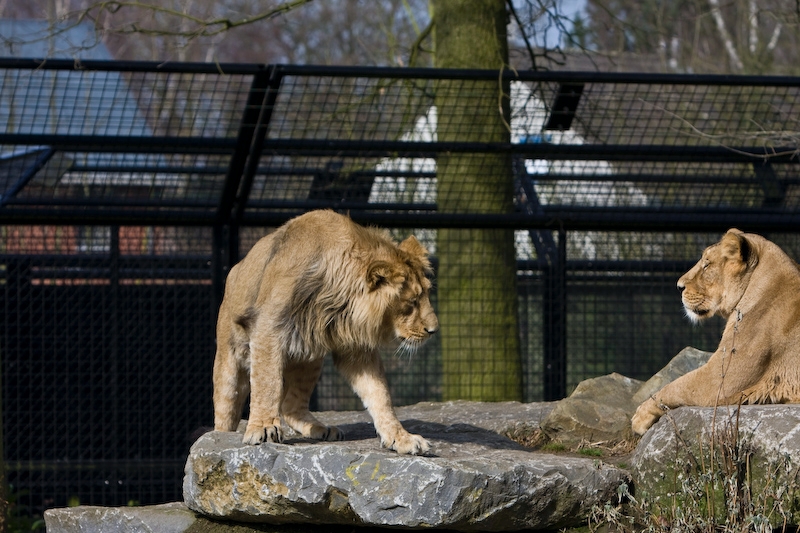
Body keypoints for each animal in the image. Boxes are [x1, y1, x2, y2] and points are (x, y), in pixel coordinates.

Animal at [212, 210, 438, 455]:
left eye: (426, 295)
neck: (336, 301)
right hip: (228, 363)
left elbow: (379, 394)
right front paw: (263, 427)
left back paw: (321, 429)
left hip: (310, 358)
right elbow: (267, 383)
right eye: (412, 301)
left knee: (290, 405)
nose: (434, 330)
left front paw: (401, 438)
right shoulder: (268, 329)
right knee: (225, 411)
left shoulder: (356, 346)